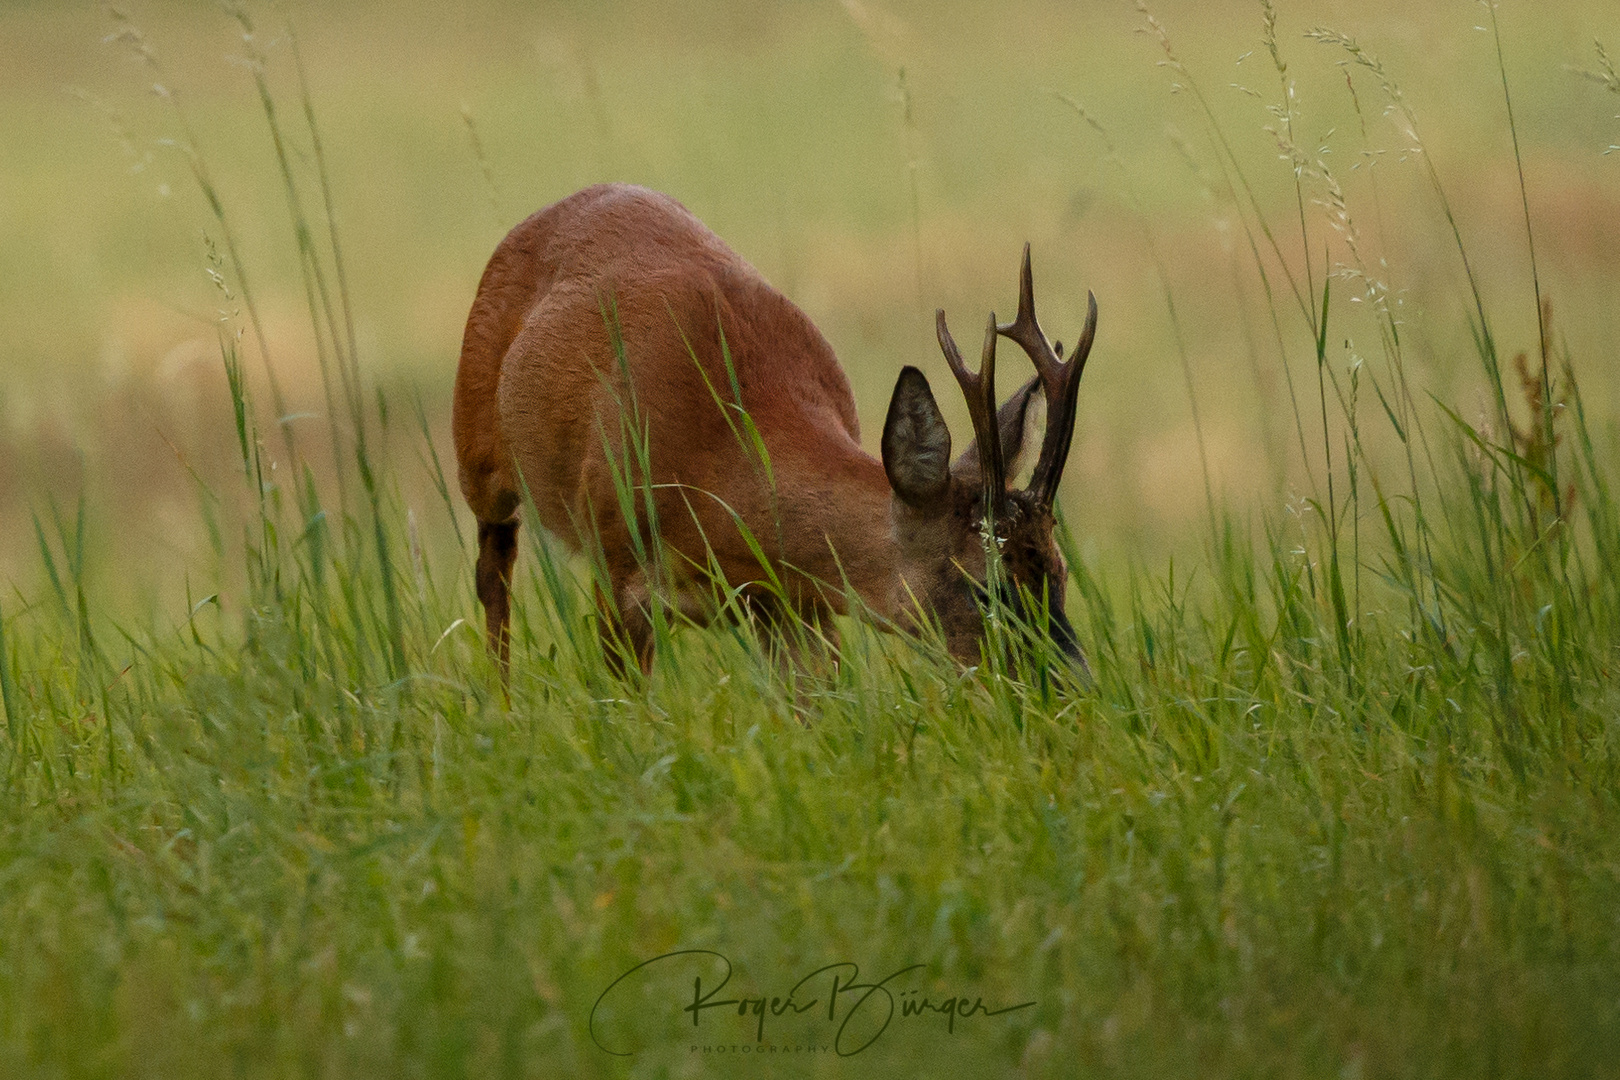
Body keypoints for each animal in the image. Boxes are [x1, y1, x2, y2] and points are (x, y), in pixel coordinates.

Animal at [450, 186, 1095, 676]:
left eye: (1059, 573)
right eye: (983, 587)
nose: (1073, 688)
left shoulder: (798, 606)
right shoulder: (615, 560)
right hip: (476, 448)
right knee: (492, 573)